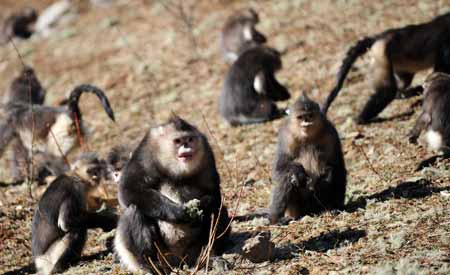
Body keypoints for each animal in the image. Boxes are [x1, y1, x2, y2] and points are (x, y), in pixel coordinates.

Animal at [114, 116, 230, 274]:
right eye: (178, 141)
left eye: (190, 139)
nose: (187, 147)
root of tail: (178, 260)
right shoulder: (146, 151)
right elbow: (128, 190)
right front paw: (179, 212)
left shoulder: (206, 151)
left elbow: (213, 193)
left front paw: (201, 208)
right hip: (160, 253)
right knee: (135, 210)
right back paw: (151, 266)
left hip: (192, 250)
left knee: (218, 209)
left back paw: (209, 257)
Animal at [268, 94, 346, 225]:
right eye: (301, 117)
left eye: (310, 116)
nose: (306, 122)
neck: (308, 137)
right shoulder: (287, 136)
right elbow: (279, 168)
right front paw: (298, 171)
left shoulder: (330, 132)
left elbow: (336, 165)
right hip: (294, 207)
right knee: (286, 177)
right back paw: (276, 219)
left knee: (334, 175)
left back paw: (332, 207)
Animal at [322, 12, 450, 124]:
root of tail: (380, 37)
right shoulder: (446, 43)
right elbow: (441, 69)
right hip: (381, 54)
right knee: (387, 91)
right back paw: (361, 119)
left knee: (402, 83)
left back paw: (405, 93)